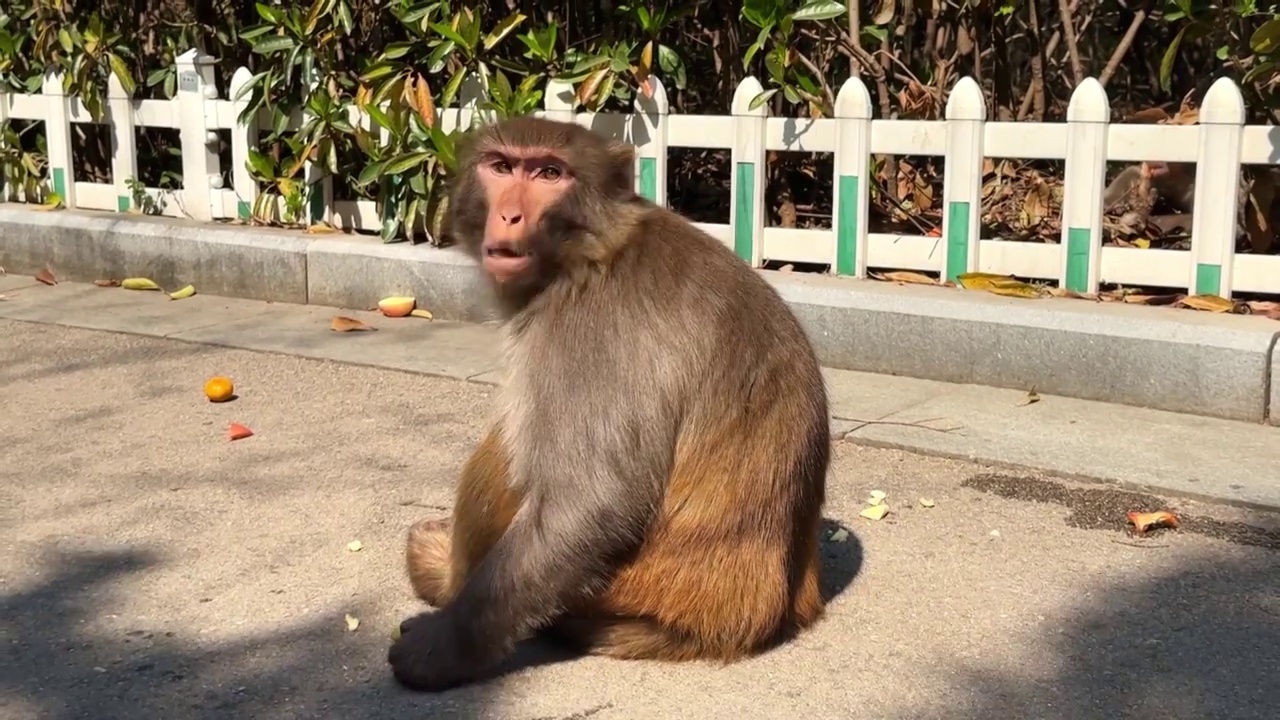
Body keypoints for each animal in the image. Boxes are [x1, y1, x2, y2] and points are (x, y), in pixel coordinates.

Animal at [386, 116, 829, 691]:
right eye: (502, 166)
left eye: (550, 174)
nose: (510, 214)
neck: (592, 251)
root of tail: (754, 620)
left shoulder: (585, 331)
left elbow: (593, 502)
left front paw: (440, 650)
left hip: (629, 591)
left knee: (509, 446)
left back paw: (441, 577)